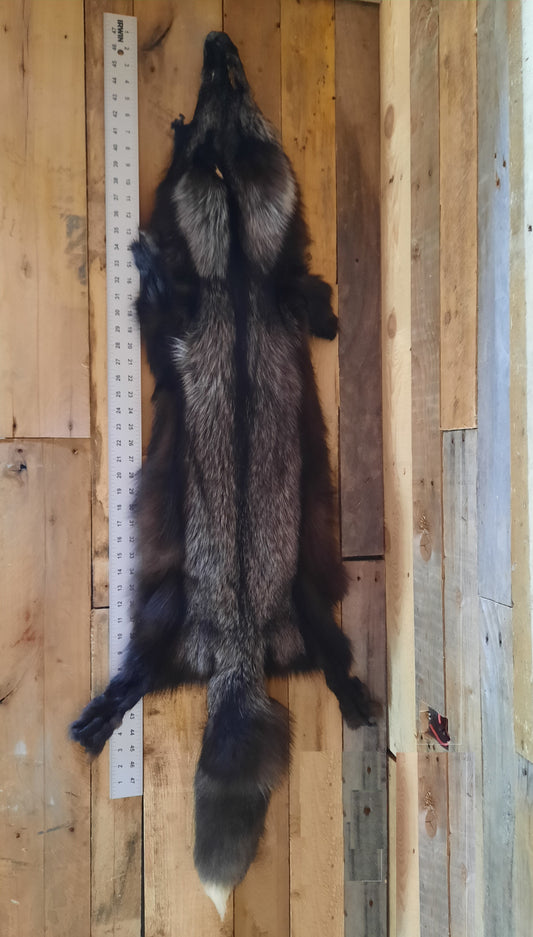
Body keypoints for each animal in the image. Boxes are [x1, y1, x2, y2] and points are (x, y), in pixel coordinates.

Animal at [71, 30, 379, 918]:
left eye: (228, 86)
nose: (215, 39)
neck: (238, 260)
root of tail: (241, 647)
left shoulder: (192, 318)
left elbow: (163, 311)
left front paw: (147, 262)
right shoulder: (274, 295)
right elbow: (317, 309)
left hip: (168, 603)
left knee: (141, 664)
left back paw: (109, 705)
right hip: (307, 602)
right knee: (334, 657)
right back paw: (352, 694)